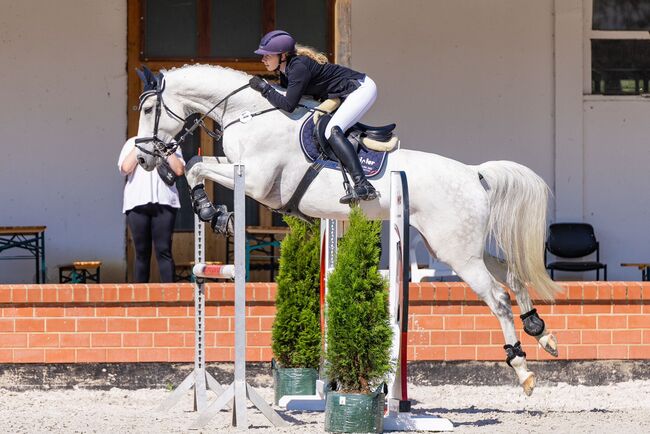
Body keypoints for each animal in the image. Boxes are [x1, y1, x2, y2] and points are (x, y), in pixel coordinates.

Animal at [135, 63, 560, 394]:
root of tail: (475, 174)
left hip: (457, 251)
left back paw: (522, 368)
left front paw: (214, 212)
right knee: (511, 273)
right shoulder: (243, 172)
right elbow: (198, 165)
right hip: (454, 245)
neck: (249, 113)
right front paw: (213, 211)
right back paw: (542, 331)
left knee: (498, 298)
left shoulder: (256, 182)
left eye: (151, 107)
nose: (143, 158)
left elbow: (197, 167)